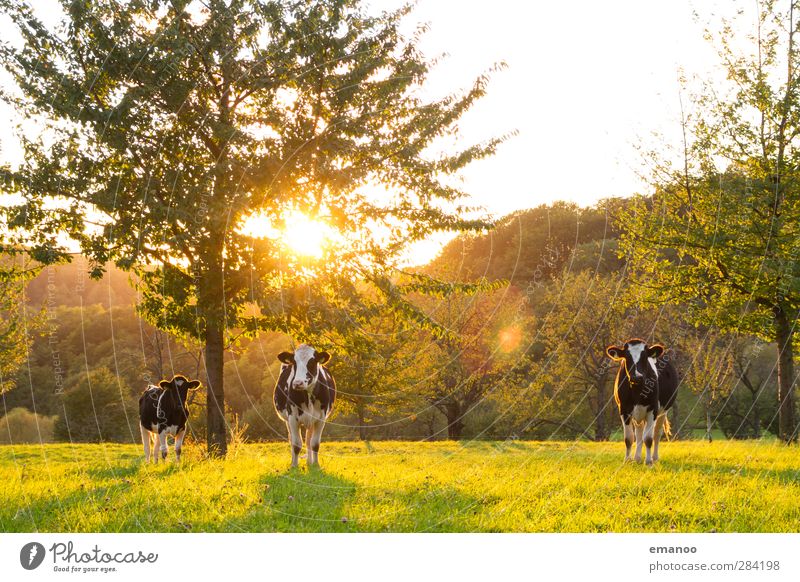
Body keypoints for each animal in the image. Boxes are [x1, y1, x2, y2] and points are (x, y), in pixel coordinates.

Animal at [608, 340, 676, 468]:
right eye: (627, 357)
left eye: (644, 357)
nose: (636, 377)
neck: (637, 390)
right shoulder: (624, 410)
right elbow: (629, 438)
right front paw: (627, 460)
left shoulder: (652, 409)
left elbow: (648, 438)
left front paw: (648, 462)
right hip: (638, 414)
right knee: (639, 434)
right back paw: (637, 458)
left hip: (664, 410)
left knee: (656, 434)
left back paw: (654, 458)